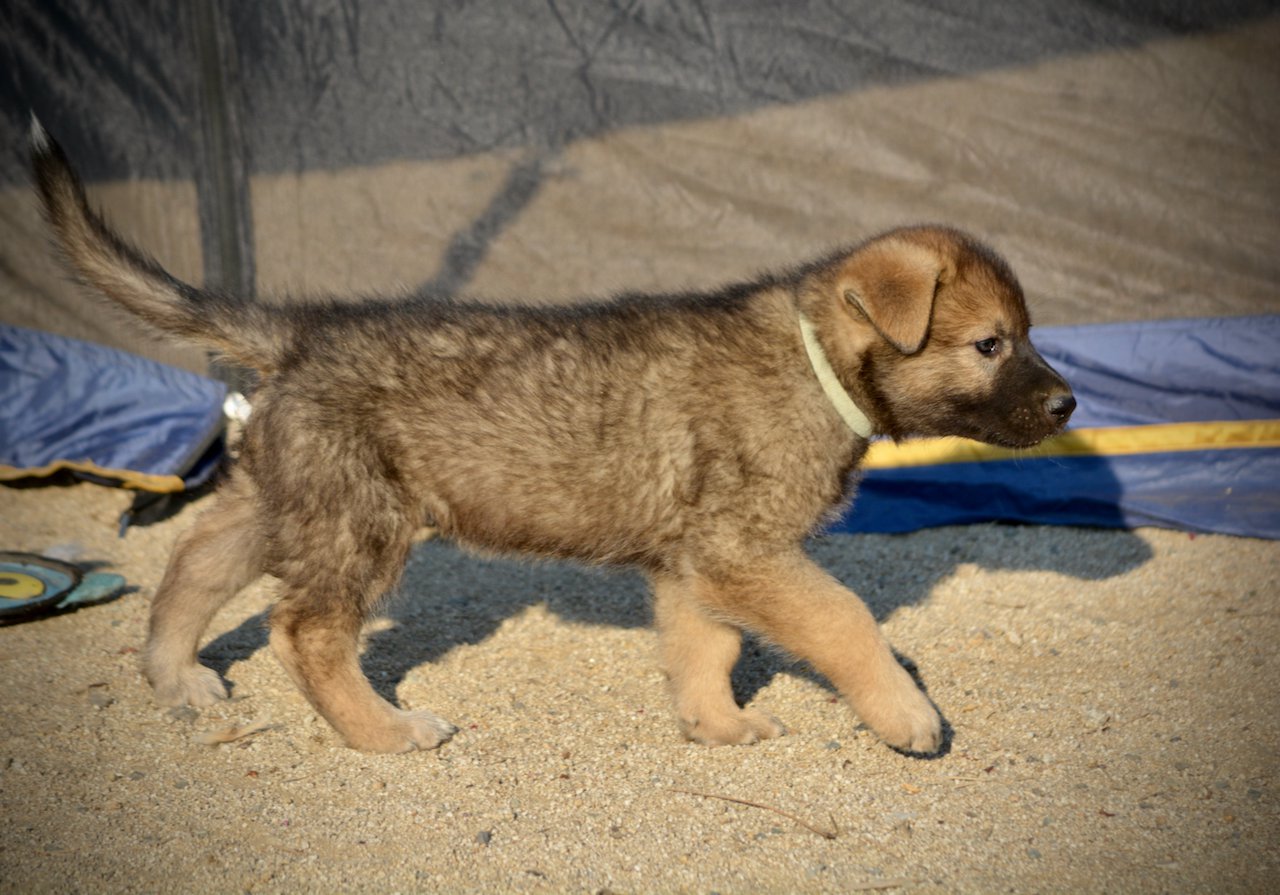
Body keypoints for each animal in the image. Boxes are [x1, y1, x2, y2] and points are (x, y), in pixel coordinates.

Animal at [30, 120, 1075, 757]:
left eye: (1019, 334)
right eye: (990, 344)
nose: (1069, 406)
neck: (815, 357)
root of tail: (301, 332)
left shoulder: (696, 563)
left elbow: (707, 649)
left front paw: (716, 727)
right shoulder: (747, 551)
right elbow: (847, 620)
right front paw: (909, 714)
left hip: (289, 496)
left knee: (194, 562)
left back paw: (176, 677)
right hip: (360, 520)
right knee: (308, 631)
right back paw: (383, 730)